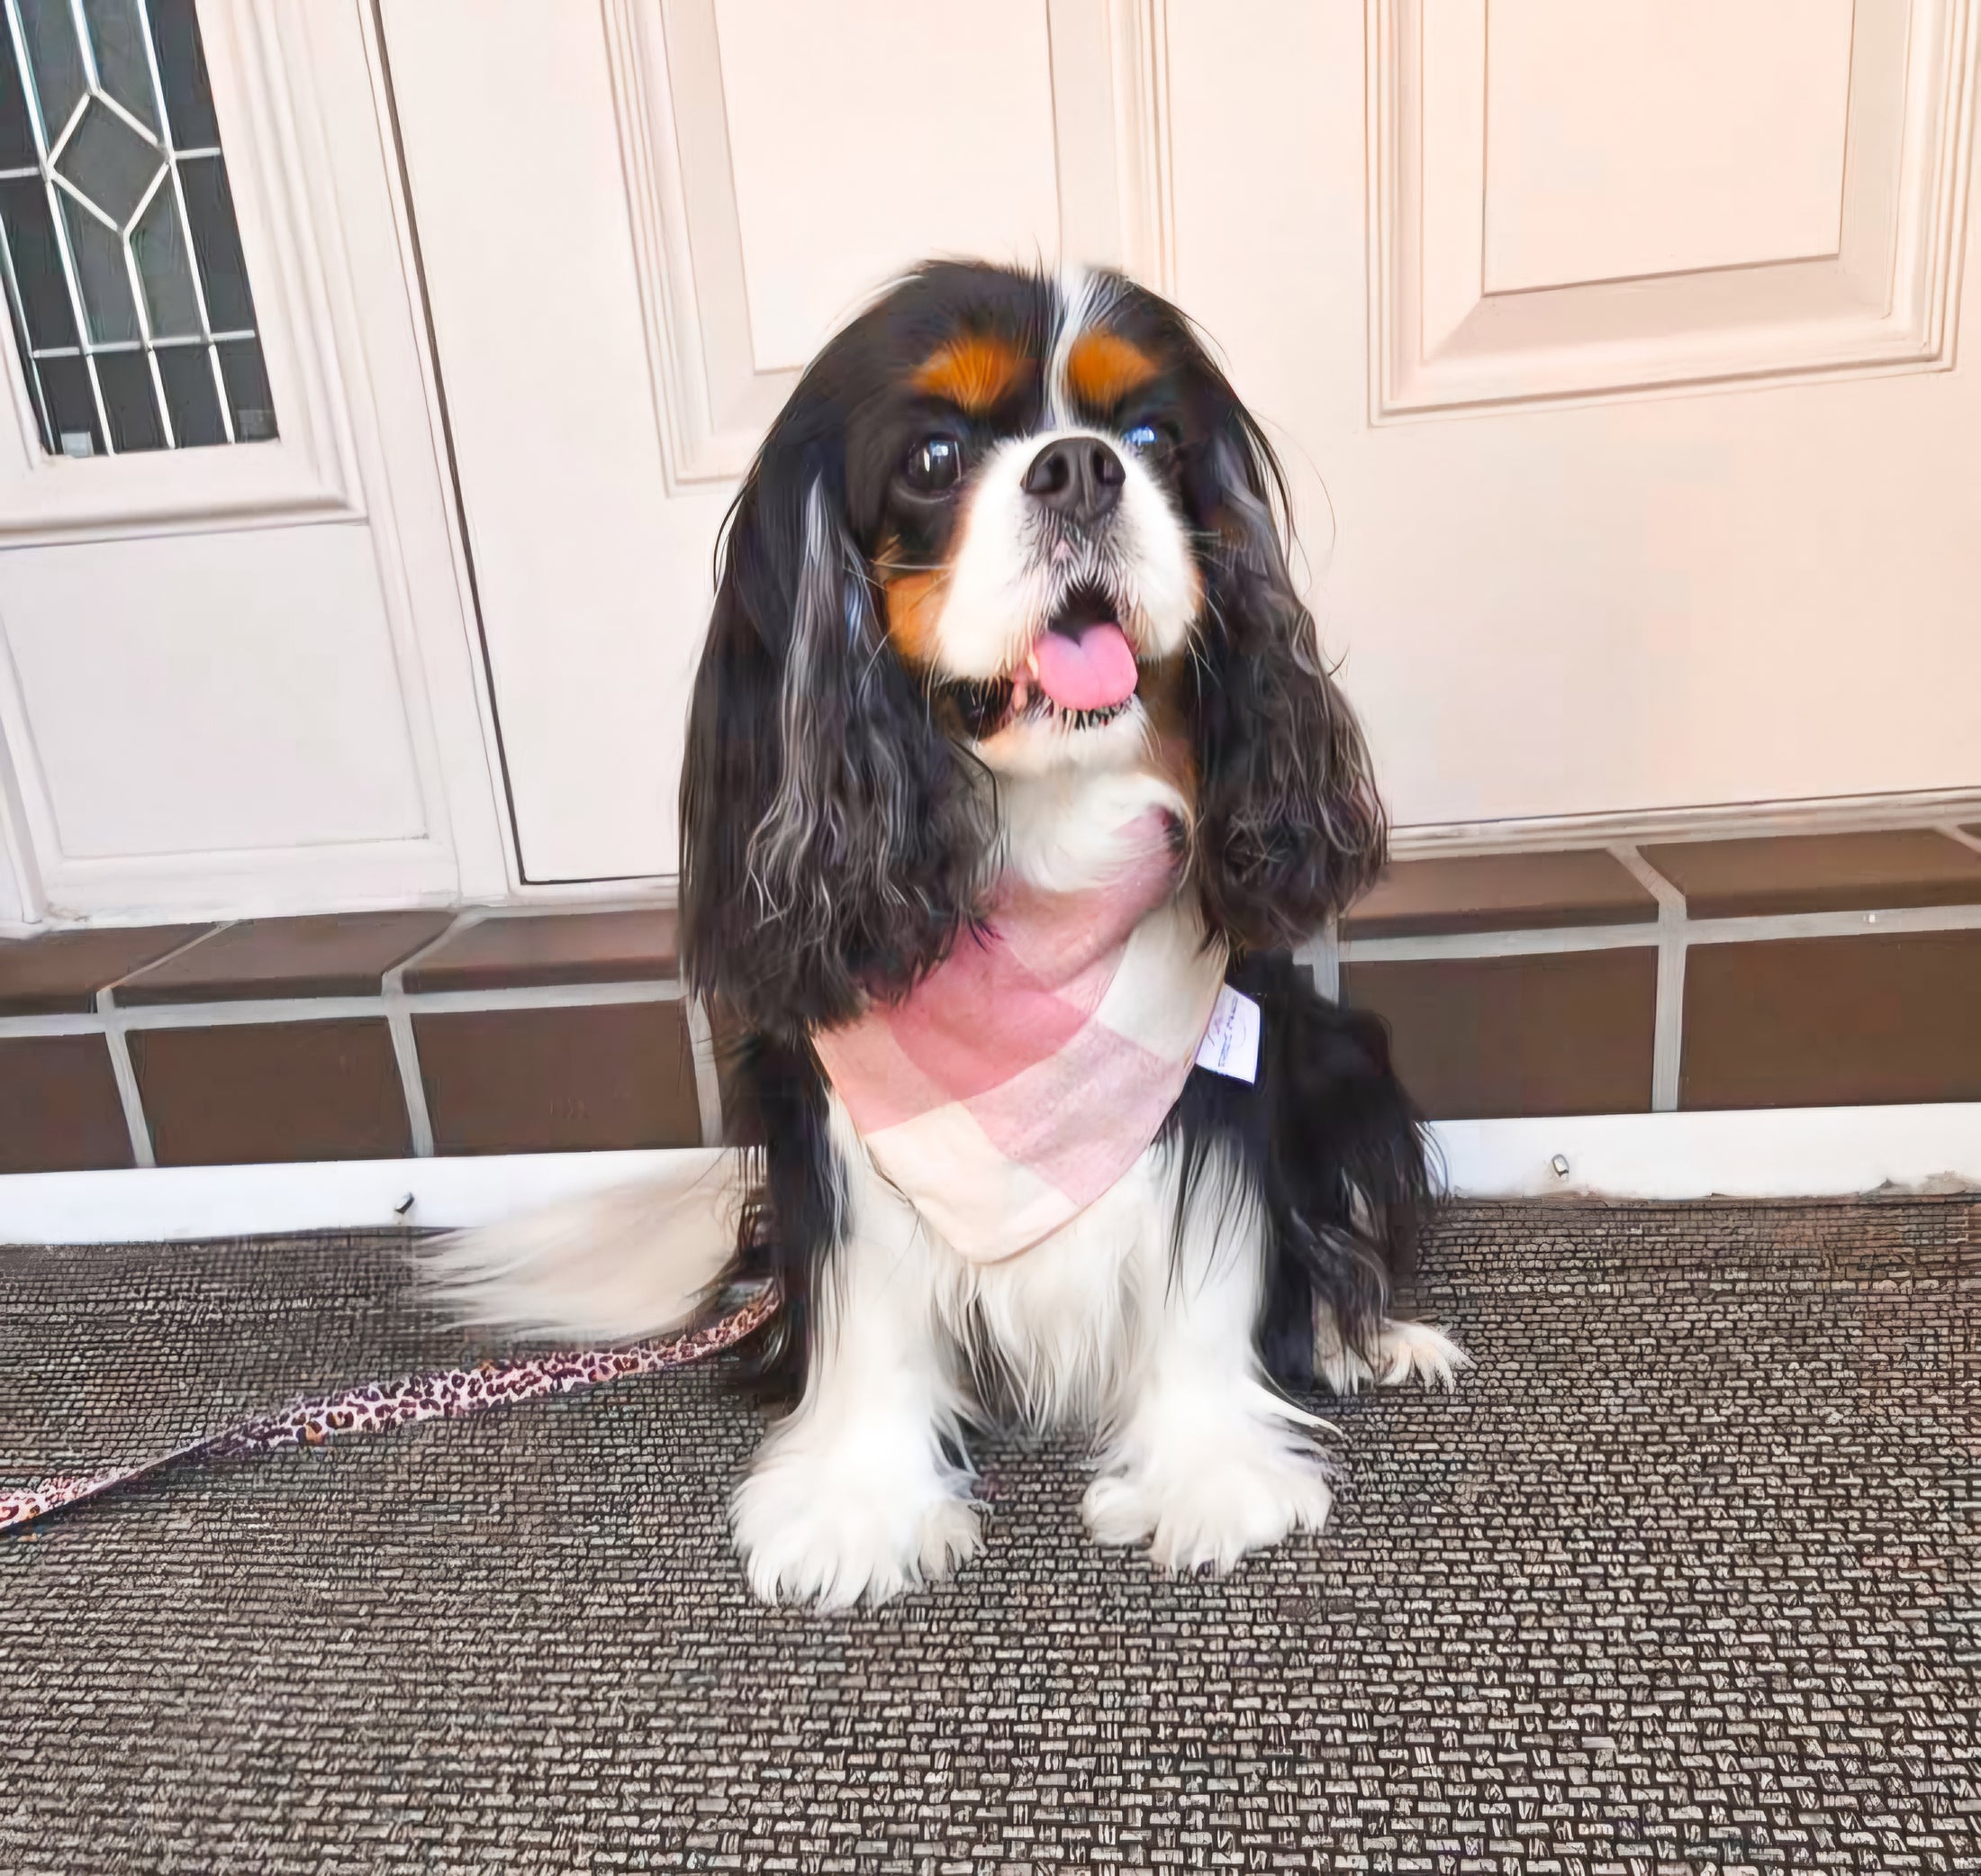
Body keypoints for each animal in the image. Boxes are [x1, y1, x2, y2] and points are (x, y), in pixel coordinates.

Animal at [438, 259, 1473, 1616]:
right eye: (933, 457)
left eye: (1154, 438)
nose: (1081, 468)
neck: (1044, 850)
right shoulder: (837, 1107)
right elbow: (868, 1307)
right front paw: (857, 1504)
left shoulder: (1222, 1056)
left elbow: (1210, 1264)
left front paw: (1209, 1472)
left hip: (1340, 1053)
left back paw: (1366, 1333)